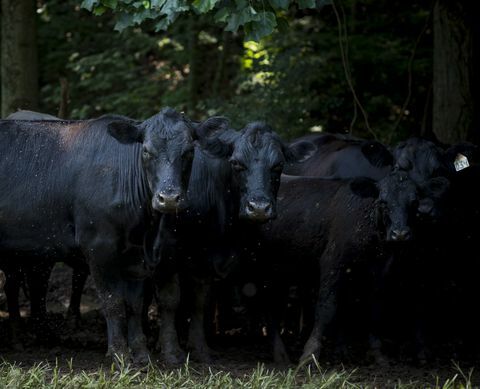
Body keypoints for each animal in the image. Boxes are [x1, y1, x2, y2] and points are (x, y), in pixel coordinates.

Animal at [0, 107, 221, 362]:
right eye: (146, 151)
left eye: (189, 151)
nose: (169, 198)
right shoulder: (98, 246)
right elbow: (113, 300)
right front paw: (119, 354)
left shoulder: (136, 255)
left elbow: (135, 303)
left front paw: (141, 354)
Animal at [153, 119, 316, 364]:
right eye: (237, 163)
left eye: (278, 166)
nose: (258, 207)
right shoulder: (168, 249)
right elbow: (170, 299)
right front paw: (172, 352)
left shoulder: (205, 259)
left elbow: (200, 301)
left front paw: (200, 349)